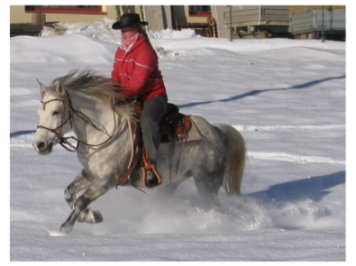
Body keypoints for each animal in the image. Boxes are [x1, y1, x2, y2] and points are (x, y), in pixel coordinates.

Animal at [32, 69, 246, 234]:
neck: (103, 130)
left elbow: (81, 200)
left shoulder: (108, 178)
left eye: (56, 111)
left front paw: (66, 227)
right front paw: (94, 216)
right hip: (173, 183)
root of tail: (216, 132)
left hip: (207, 184)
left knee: (218, 210)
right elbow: (69, 194)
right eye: (39, 112)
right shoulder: (91, 173)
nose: (39, 144)